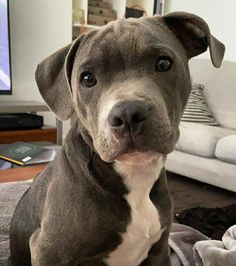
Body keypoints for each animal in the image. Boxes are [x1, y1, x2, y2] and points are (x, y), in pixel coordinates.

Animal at [8, 11, 223, 266]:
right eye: (87, 78)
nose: (128, 113)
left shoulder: (159, 251)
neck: (134, 176)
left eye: (163, 63)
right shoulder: (48, 250)